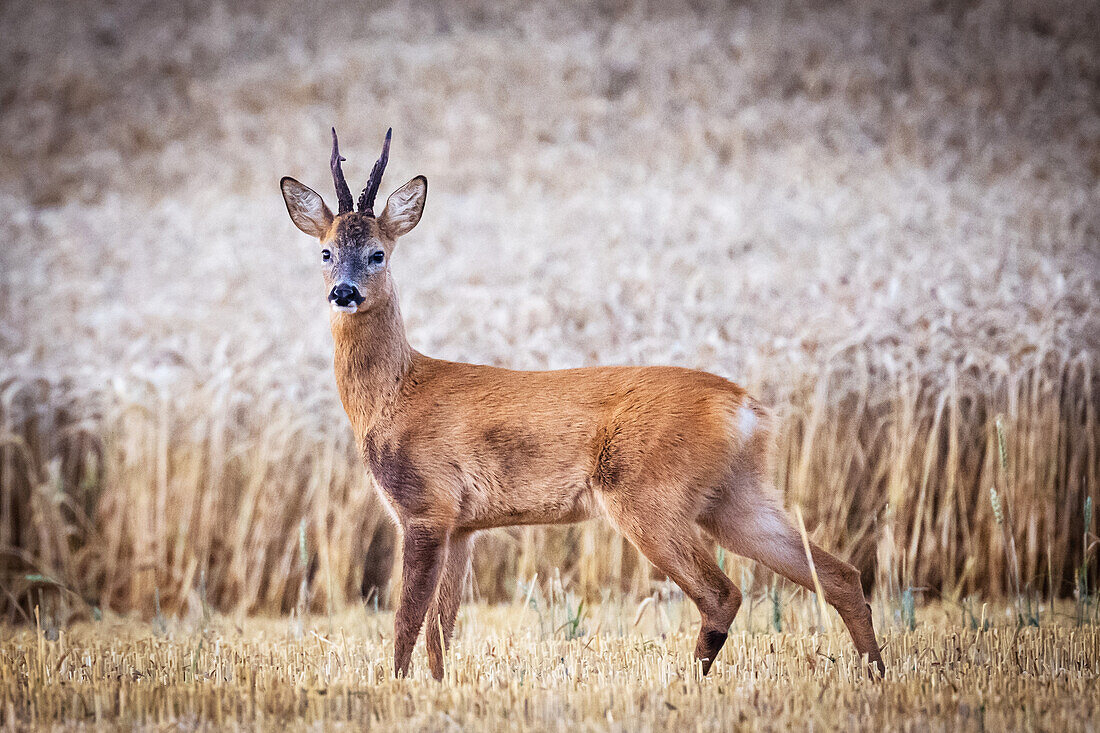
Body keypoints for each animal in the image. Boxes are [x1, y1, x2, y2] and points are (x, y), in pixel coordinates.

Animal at [281, 127, 884, 677]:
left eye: (378, 253)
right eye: (326, 251)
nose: (343, 292)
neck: (395, 394)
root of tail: (745, 408)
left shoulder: (425, 506)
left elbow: (407, 624)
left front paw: (398, 688)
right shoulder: (462, 525)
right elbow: (440, 632)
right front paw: (436, 688)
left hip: (647, 493)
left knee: (723, 593)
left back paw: (689, 680)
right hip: (737, 495)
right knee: (840, 574)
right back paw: (875, 671)